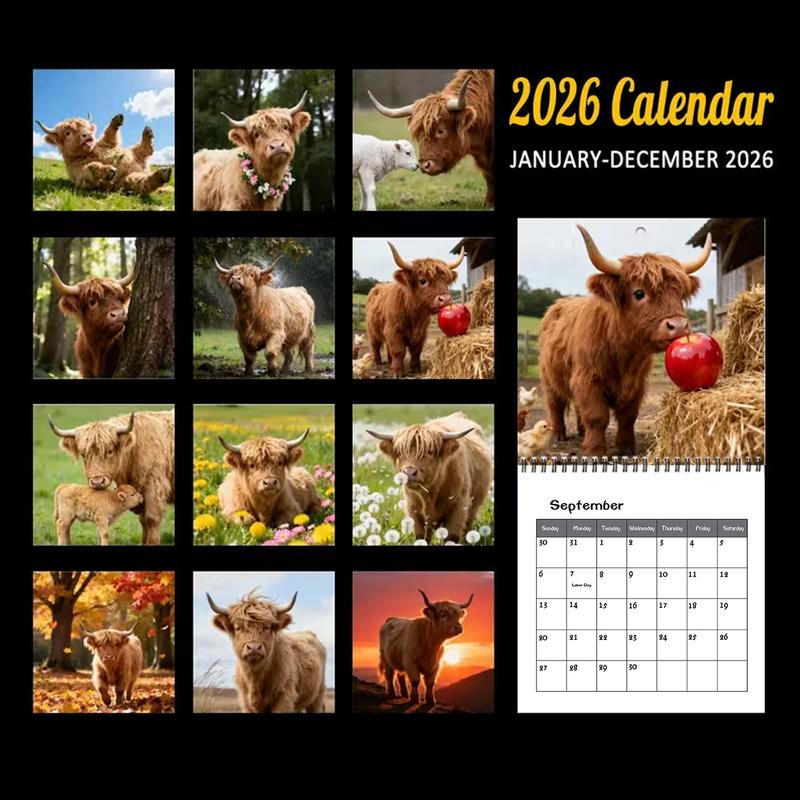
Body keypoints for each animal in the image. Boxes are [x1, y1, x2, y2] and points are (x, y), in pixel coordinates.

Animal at [35, 113, 171, 195]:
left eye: (87, 128)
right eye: (68, 133)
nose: (86, 135)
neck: (90, 152)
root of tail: (145, 169)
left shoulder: (107, 143)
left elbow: (110, 134)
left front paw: (117, 119)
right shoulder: (79, 175)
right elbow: (89, 169)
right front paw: (107, 170)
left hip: (134, 153)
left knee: (144, 150)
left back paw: (148, 133)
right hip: (128, 181)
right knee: (143, 184)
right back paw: (162, 174)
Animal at [48, 409, 175, 545]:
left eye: (110, 451)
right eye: (83, 454)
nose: (97, 481)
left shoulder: (155, 486)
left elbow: (151, 519)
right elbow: (143, 521)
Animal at [365, 241, 464, 376]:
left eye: (447, 281)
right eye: (422, 281)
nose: (445, 299)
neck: (414, 316)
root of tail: (376, 287)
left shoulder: (422, 333)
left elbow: (416, 350)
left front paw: (415, 369)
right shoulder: (393, 330)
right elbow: (398, 351)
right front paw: (397, 371)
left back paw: (390, 362)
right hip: (372, 331)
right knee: (375, 345)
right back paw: (378, 362)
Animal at [367, 411, 491, 542]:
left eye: (430, 451)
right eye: (399, 452)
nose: (409, 472)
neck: (429, 495)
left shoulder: (458, 508)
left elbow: (451, 537)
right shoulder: (414, 511)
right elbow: (421, 538)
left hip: (473, 508)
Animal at [539, 225, 713, 456]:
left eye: (680, 294)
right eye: (639, 293)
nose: (678, 326)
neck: (624, 354)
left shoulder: (636, 383)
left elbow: (628, 415)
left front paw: (626, 446)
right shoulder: (587, 379)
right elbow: (597, 416)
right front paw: (594, 450)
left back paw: (582, 431)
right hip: (550, 378)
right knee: (555, 404)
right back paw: (558, 434)